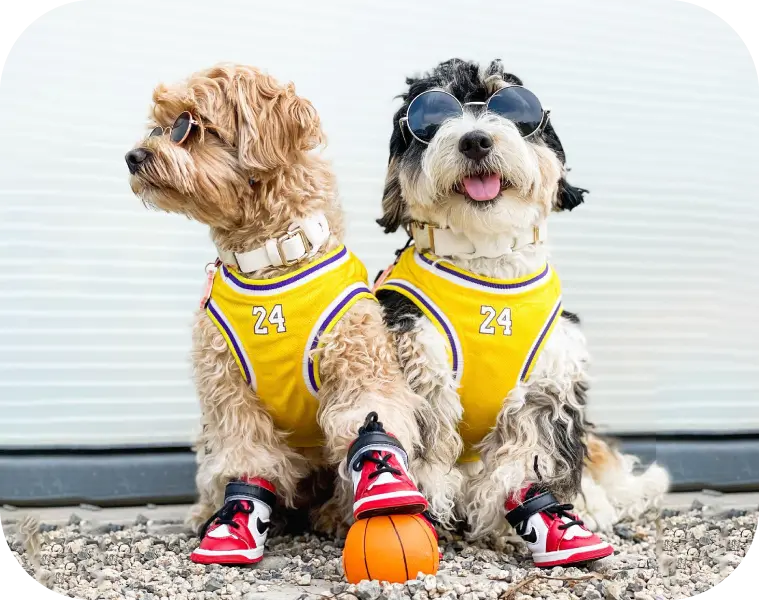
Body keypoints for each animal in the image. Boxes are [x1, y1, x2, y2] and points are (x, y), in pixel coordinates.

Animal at [124, 63, 440, 564]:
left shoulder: (359, 367)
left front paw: (369, 495)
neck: (270, 259)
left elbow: (367, 420)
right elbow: (245, 454)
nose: (133, 156)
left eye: (189, 125)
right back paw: (206, 511)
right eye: (158, 125)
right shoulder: (227, 389)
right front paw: (236, 518)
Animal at [372, 59, 668, 568]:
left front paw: (518, 520)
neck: (488, 262)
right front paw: (427, 504)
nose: (475, 140)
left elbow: (526, 459)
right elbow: (428, 445)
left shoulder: (548, 385)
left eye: (511, 106)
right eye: (430, 119)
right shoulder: (415, 361)